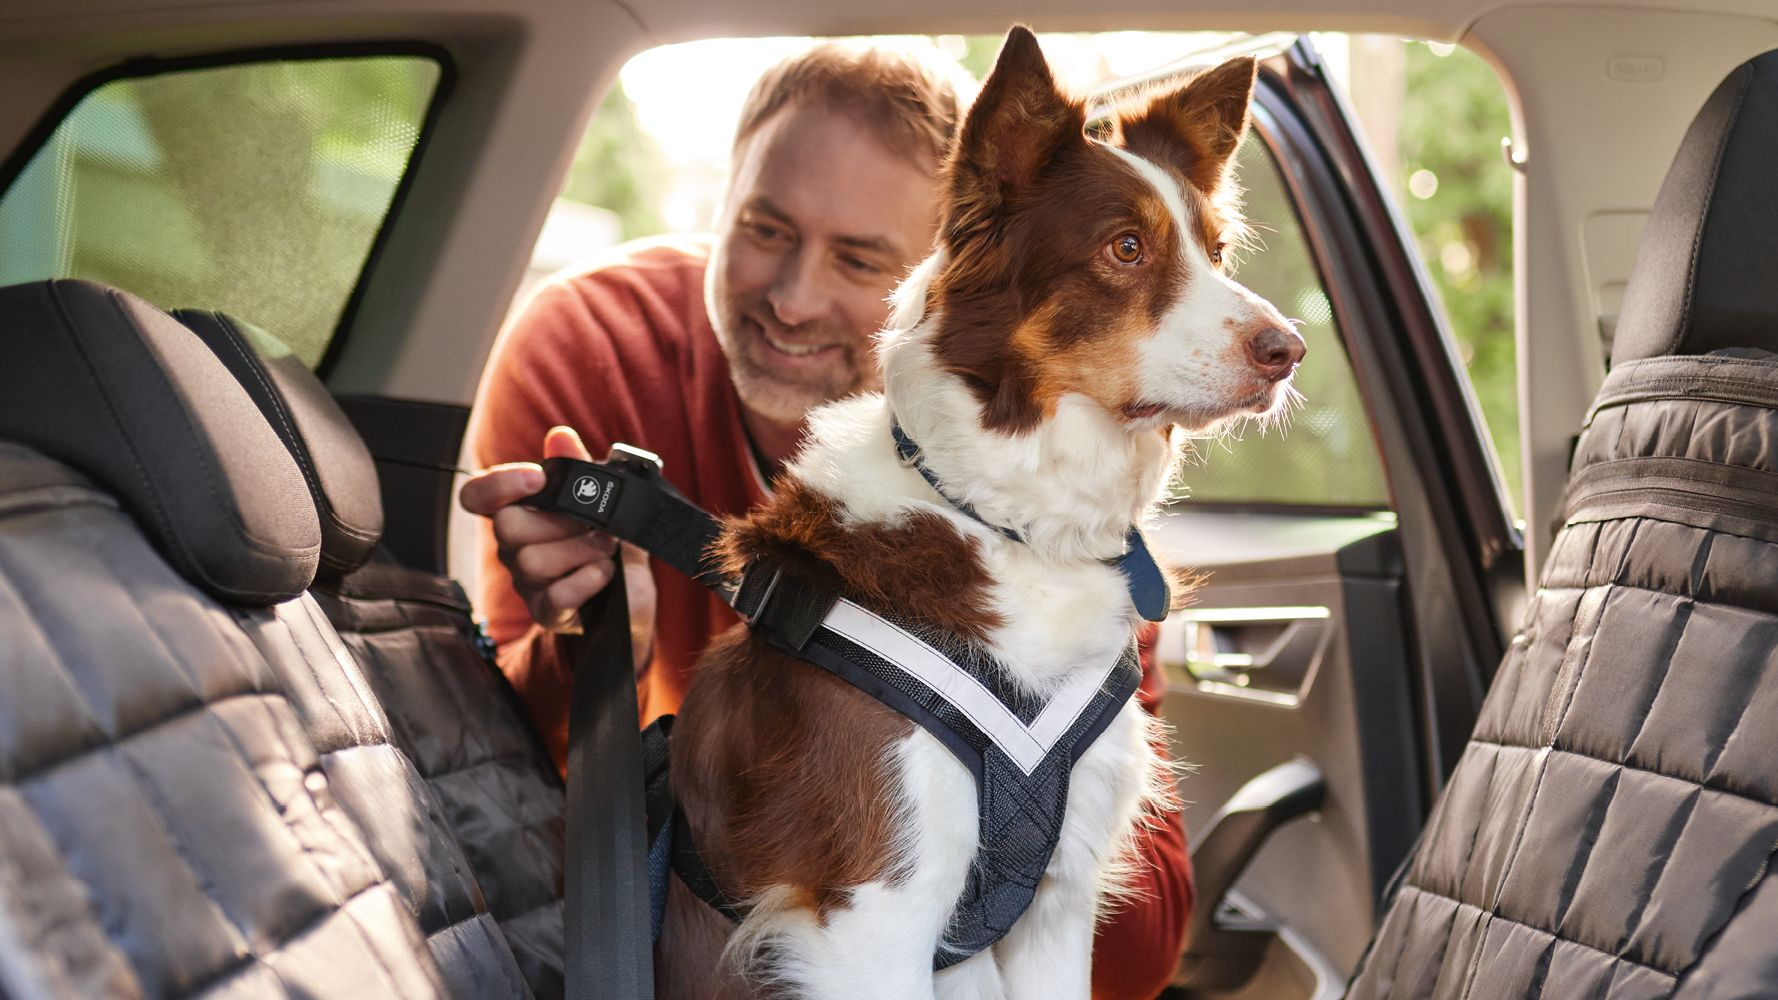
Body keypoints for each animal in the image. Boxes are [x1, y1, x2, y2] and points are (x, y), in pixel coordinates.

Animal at [661, 27, 1301, 989]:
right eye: (1125, 248)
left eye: (1216, 253)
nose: (1289, 350)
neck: (1016, 525)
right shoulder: (873, 911)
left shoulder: (1057, 906)